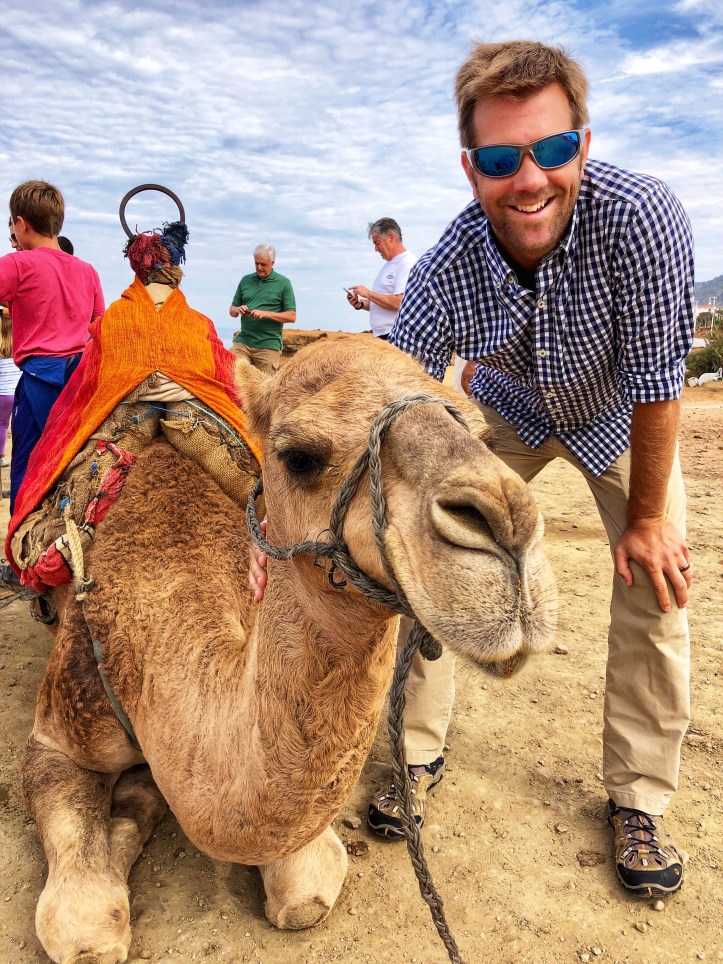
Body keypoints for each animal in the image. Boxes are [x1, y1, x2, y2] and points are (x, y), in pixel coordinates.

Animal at [21, 334, 557, 964]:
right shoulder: (59, 729)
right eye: (298, 456)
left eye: (482, 433)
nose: (509, 526)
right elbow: (84, 930)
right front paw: (132, 803)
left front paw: (138, 799)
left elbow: (305, 893)